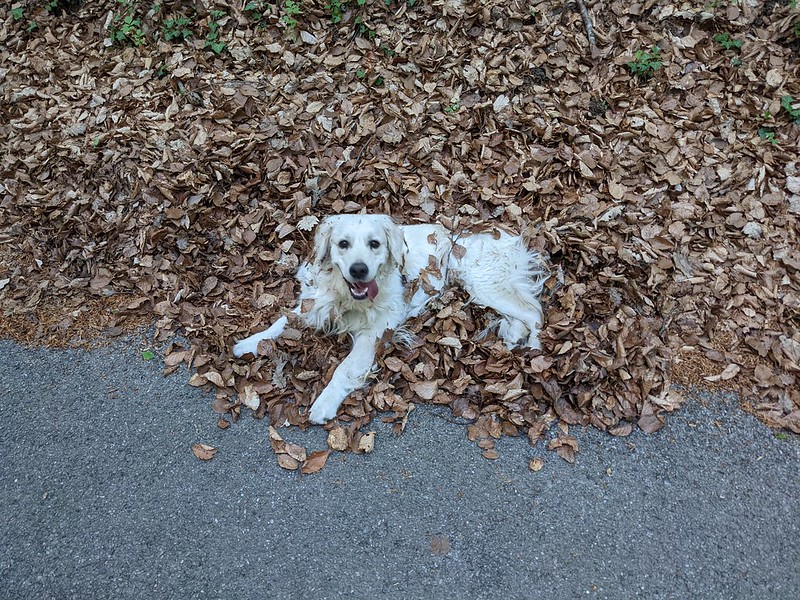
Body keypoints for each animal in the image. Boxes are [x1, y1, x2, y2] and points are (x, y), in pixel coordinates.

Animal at [230, 213, 544, 424]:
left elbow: (343, 370)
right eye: (342, 244)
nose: (358, 270)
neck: (347, 296)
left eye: (374, 243)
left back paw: (535, 352)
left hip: (486, 283)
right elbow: (279, 322)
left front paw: (324, 404)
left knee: (535, 313)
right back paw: (515, 336)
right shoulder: (313, 305)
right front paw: (249, 343)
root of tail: (500, 231)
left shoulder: (374, 334)